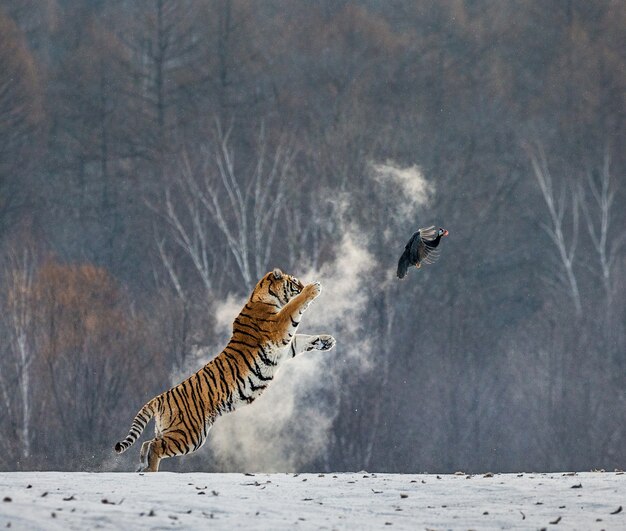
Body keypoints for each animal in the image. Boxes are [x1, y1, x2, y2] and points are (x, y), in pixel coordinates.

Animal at [114, 270, 334, 474]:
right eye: (295, 281)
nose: (304, 284)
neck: (263, 296)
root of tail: (160, 397)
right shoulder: (279, 328)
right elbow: (294, 306)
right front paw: (313, 288)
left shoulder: (285, 347)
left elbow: (302, 339)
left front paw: (326, 340)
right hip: (189, 434)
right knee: (156, 446)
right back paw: (150, 471)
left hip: (174, 431)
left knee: (147, 442)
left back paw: (141, 467)